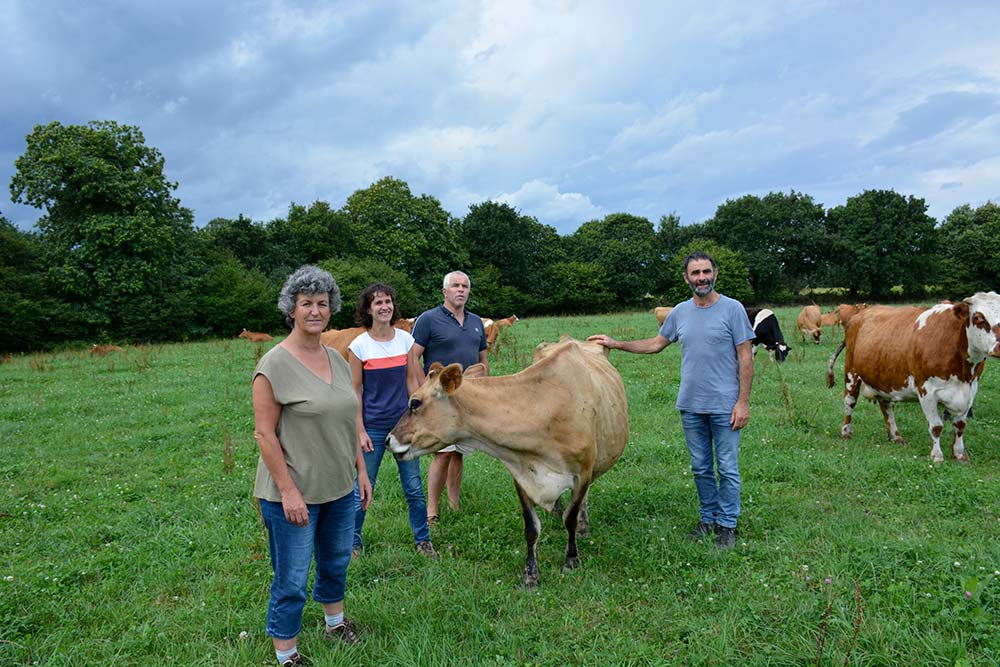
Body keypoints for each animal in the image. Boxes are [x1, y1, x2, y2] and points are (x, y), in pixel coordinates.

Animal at [386, 336, 628, 588]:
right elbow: (531, 527)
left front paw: (571, 560)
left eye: (415, 403)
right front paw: (530, 575)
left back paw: (583, 525)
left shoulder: (582, 472)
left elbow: (569, 518)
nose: (388, 439)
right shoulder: (521, 474)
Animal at [824, 294, 1000, 462]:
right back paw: (846, 432)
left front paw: (959, 455)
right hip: (851, 373)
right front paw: (937, 455)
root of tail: (860, 313)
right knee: (849, 402)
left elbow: (960, 425)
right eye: (978, 317)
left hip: (883, 378)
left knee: (886, 407)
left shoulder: (971, 390)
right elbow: (936, 427)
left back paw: (895, 436)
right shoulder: (927, 390)